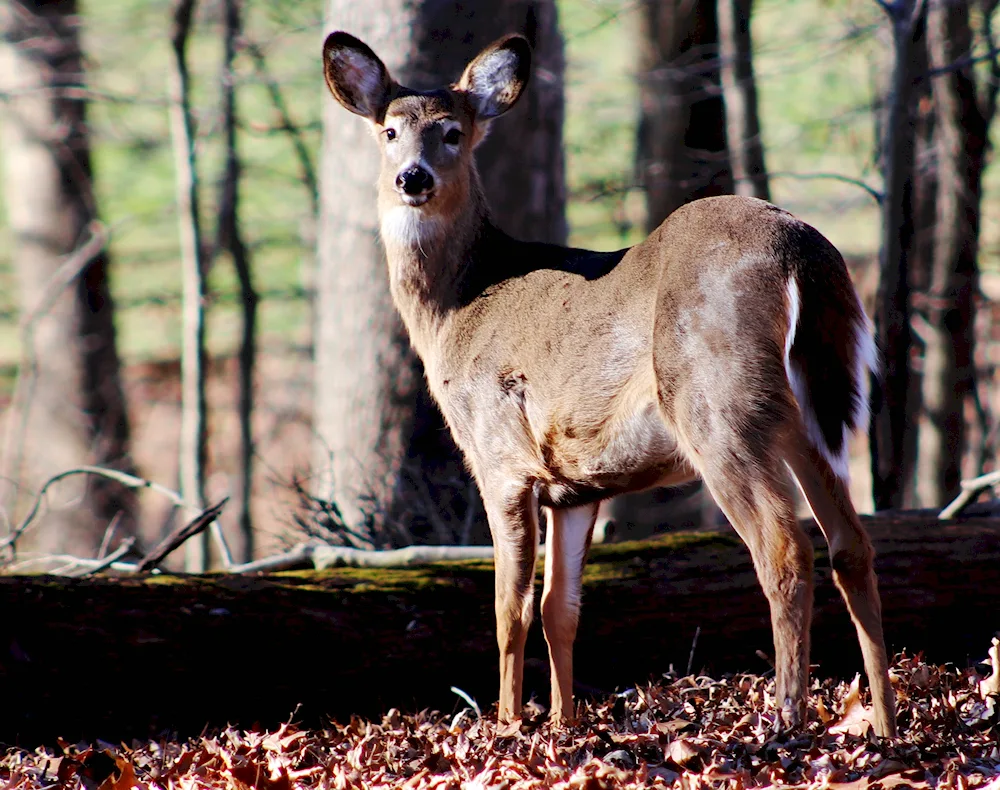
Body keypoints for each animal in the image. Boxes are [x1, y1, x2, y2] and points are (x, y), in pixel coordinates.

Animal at [322, 29, 900, 736]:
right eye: (390, 131)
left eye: (453, 132)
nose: (413, 177)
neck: (458, 306)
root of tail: (804, 257)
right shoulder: (574, 486)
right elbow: (559, 610)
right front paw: (563, 725)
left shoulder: (500, 456)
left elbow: (508, 609)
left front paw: (509, 727)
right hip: (813, 411)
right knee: (853, 545)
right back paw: (883, 722)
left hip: (717, 400)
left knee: (785, 548)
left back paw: (786, 719)